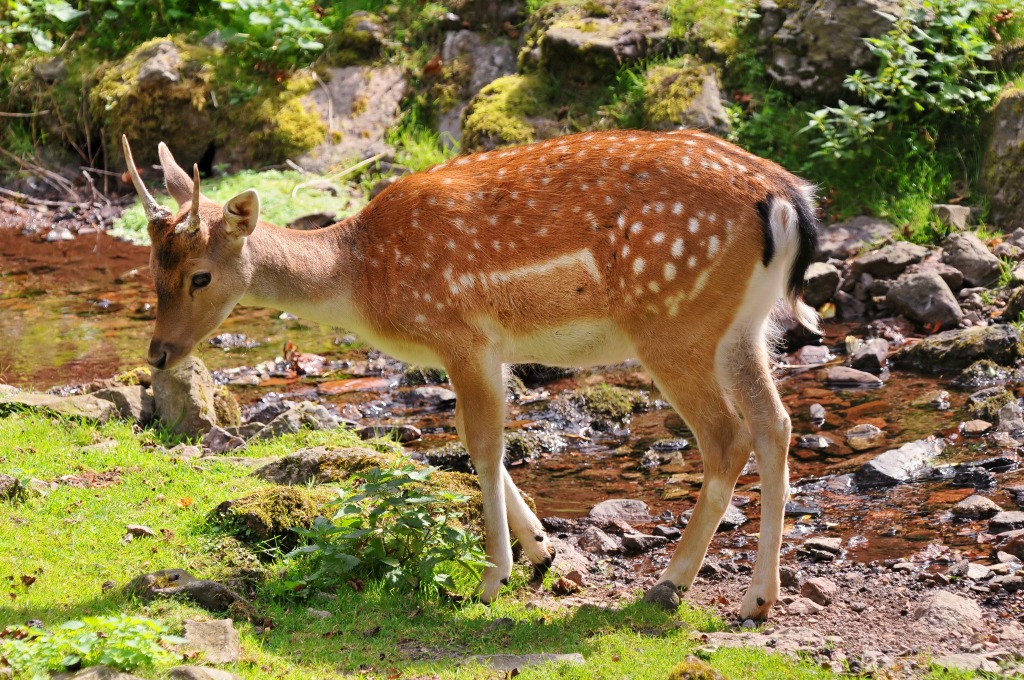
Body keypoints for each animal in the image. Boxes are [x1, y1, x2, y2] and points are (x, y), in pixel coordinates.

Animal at [123, 127, 819, 622]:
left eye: (201, 275)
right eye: (152, 267)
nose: (157, 354)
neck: (361, 281)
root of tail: (787, 202)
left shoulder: (462, 334)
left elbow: (482, 445)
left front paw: (493, 577)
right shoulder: (490, 349)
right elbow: (480, 442)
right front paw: (543, 549)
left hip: (674, 323)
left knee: (728, 436)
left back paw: (669, 584)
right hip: (743, 326)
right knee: (776, 424)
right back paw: (758, 599)